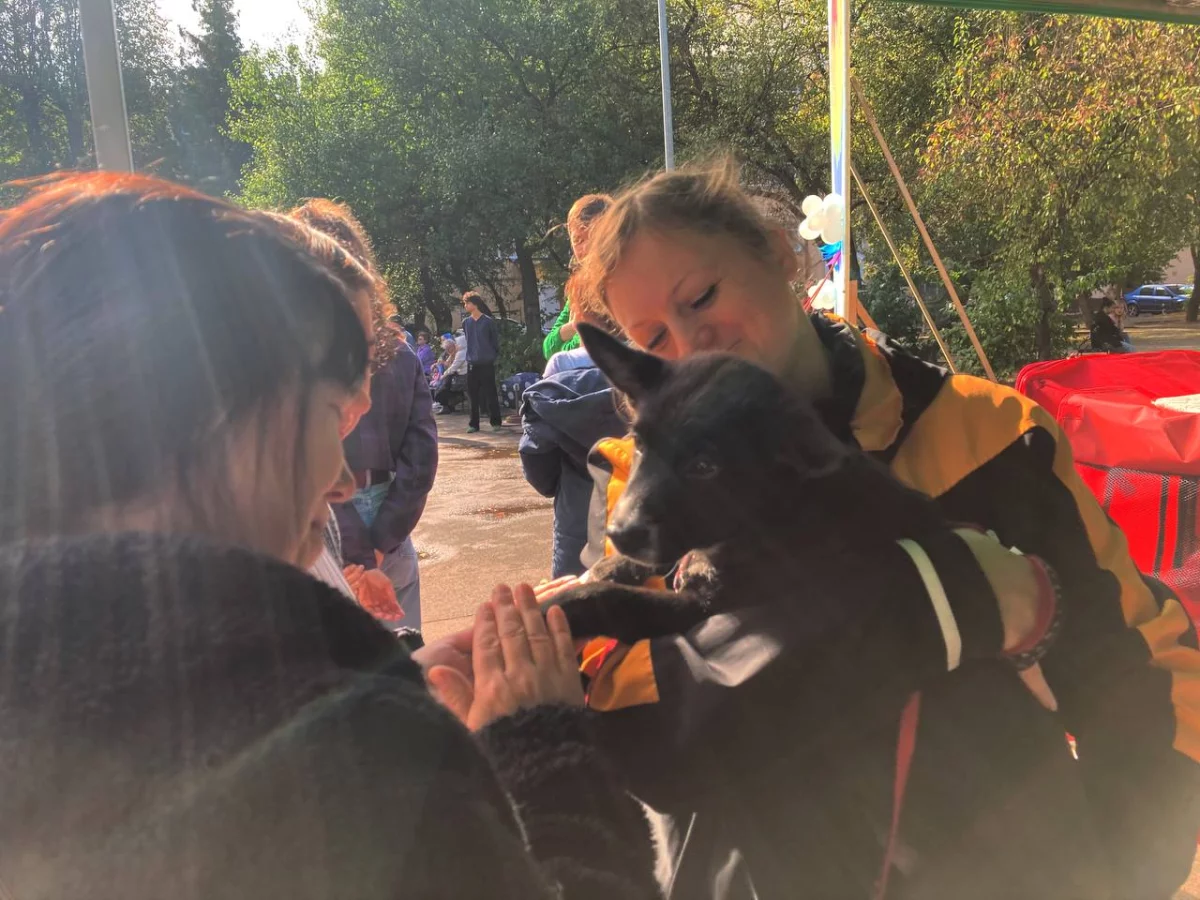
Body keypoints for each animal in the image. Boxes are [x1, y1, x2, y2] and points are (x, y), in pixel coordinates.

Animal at [544, 323, 949, 645]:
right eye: (639, 444)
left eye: (704, 466)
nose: (618, 534)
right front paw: (608, 566)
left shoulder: (703, 608)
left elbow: (611, 598)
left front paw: (550, 608)